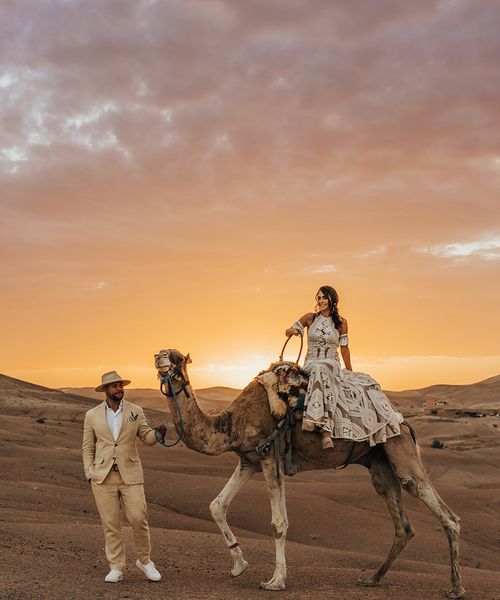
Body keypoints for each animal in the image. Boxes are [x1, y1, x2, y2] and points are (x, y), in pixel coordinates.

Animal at [153, 350, 464, 596]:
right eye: (162, 351)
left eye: (176, 357)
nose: (159, 358)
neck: (231, 423)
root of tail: (405, 421)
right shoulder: (248, 460)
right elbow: (217, 505)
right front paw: (239, 566)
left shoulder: (271, 457)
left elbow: (279, 523)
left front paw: (275, 581)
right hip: (379, 463)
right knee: (402, 523)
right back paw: (372, 579)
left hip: (398, 447)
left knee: (439, 507)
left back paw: (456, 587)